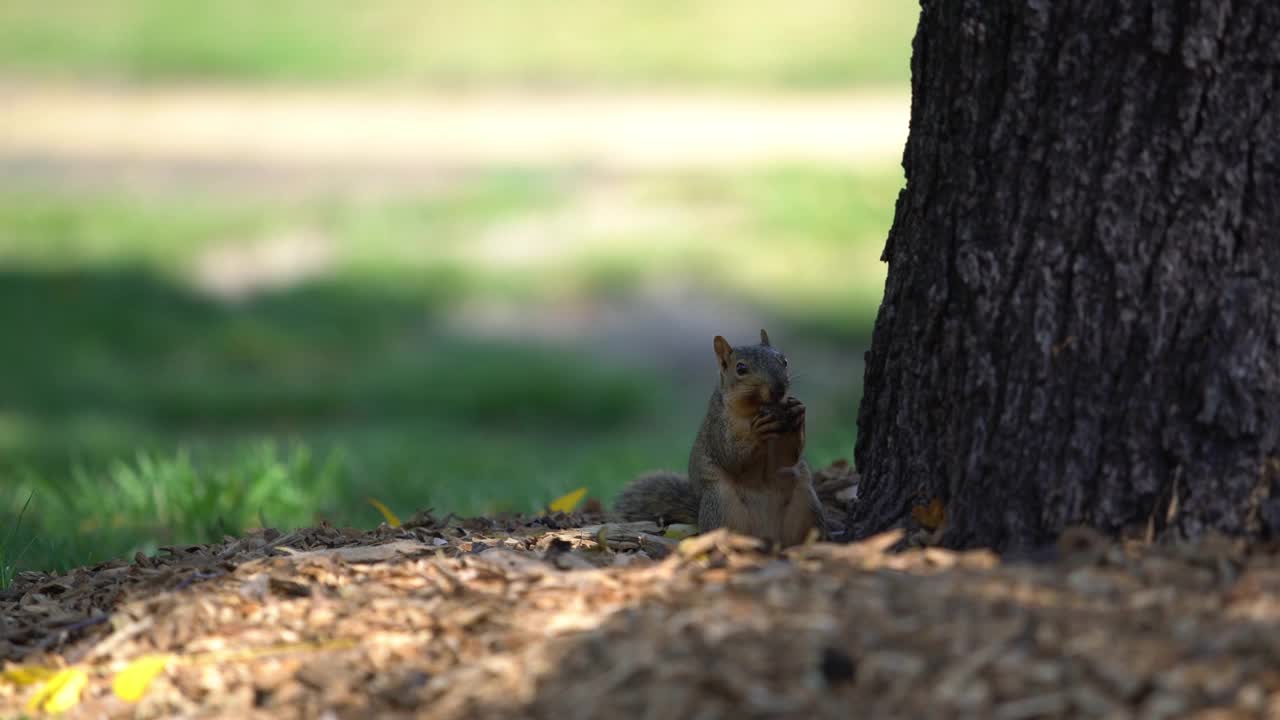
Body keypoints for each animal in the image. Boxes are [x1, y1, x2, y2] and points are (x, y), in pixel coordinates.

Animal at [611, 330, 829, 543]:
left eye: (784, 360)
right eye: (741, 368)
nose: (779, 388)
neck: (754, 410)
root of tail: (768, 536)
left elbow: (787, 458)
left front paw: (798, 413)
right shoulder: (718, 429)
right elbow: (732, 458)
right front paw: (757, 434)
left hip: (806, 503)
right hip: (722, 505)